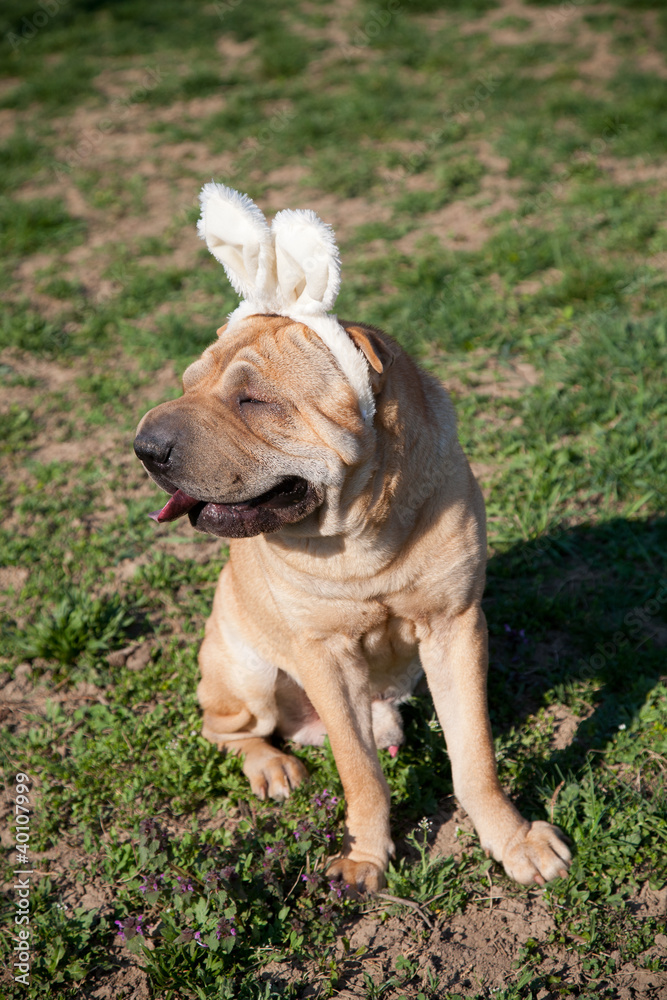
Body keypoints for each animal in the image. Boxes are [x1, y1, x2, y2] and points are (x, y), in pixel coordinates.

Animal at [133, 186, 572, 892]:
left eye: (253, 400)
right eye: (188, 382)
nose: (144, 447)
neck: (364, 532)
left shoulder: (455, 629)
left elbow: (473, 755)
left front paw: (514, 842)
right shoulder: (324, 656)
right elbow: (360, 771)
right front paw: (365, 860)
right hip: (246, 671)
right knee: (227, 729)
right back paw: (274, 768)